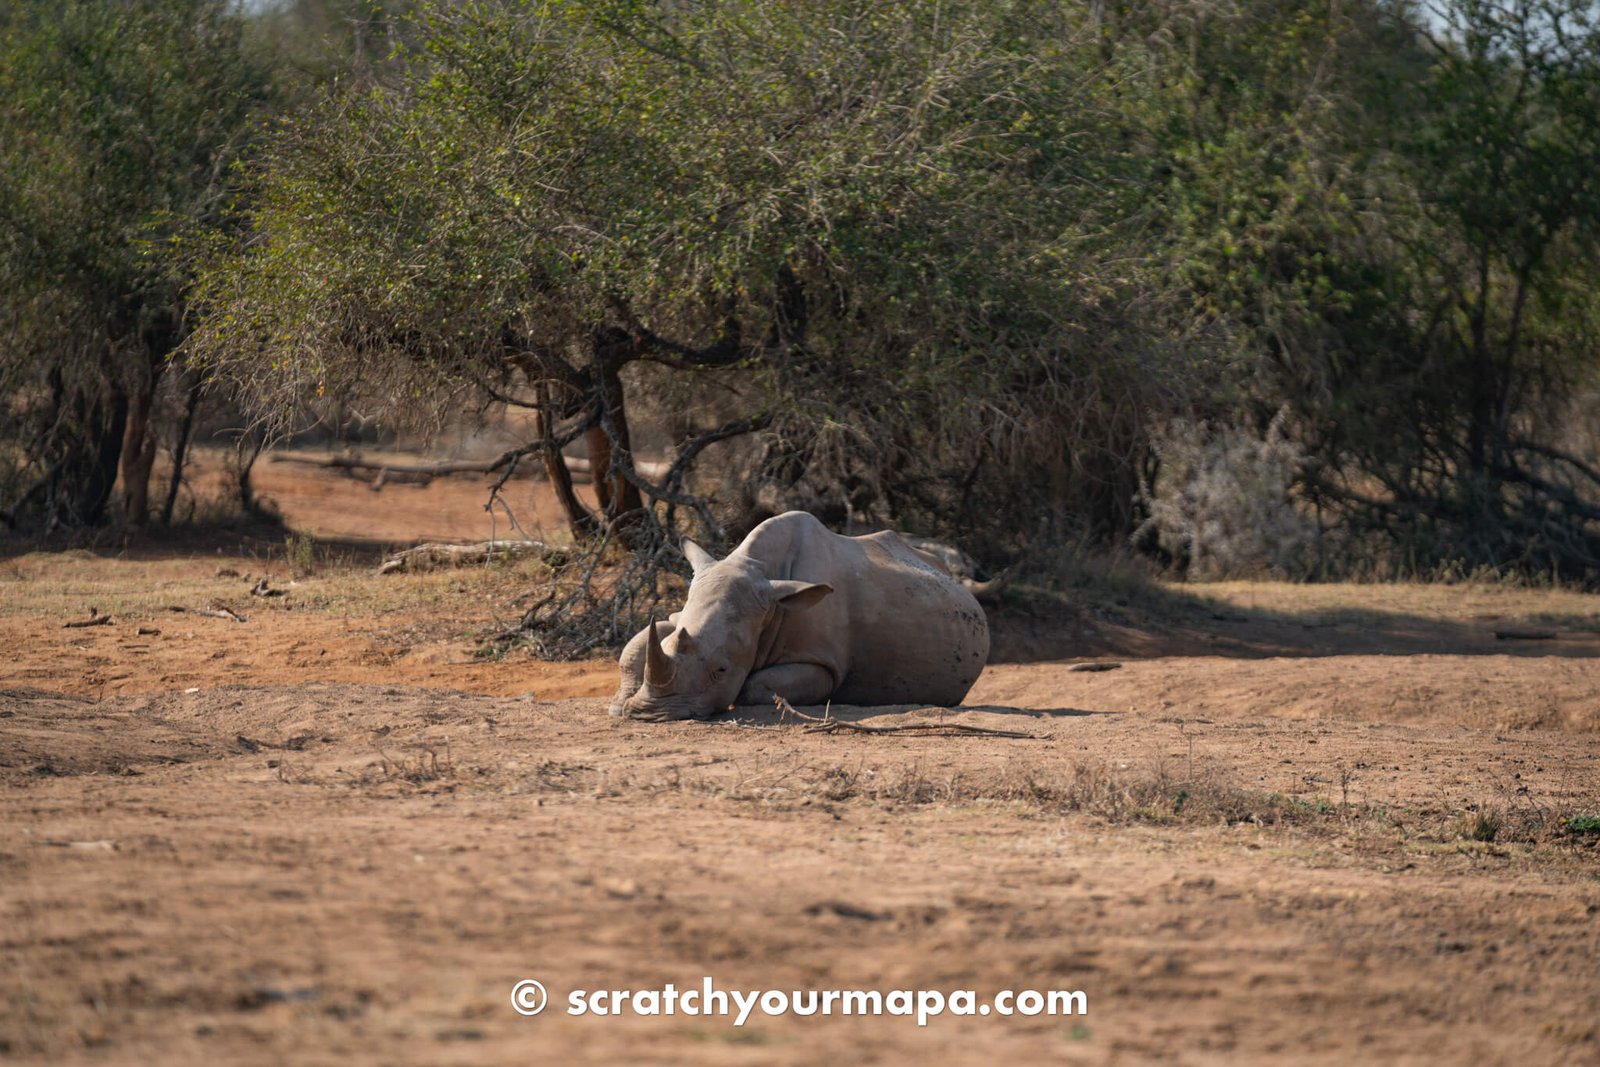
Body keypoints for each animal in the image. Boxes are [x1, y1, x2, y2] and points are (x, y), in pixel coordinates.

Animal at [608, 511, 985, 723]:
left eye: (722, 670)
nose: (650, 714)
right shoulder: (685, 612)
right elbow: (637, 645)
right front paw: (619, 704)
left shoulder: (822, 662)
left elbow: (755, 685)